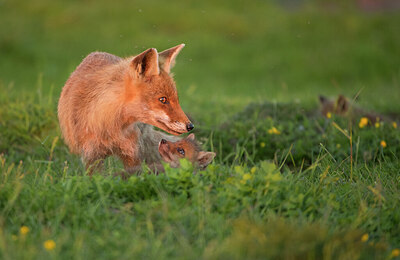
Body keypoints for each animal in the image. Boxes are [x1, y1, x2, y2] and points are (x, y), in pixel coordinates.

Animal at [57, 44, 194, 175]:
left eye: (176, 99)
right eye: (163, 99)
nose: (190, 126)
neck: (111, 126)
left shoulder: (132, 153)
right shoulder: (92, 156)